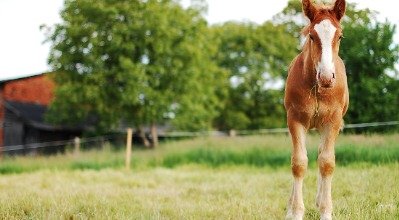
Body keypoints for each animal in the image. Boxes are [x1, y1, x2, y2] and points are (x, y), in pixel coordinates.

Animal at [284, 0, 350, 219]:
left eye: (340, 36)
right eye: (312, 35)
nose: (327, 77)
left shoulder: (332, 121)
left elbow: (327, 162)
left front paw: (326, 211)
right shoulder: (295, 120)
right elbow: (299, 162)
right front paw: (295, 212)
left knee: (323, 154)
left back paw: (320, 200)